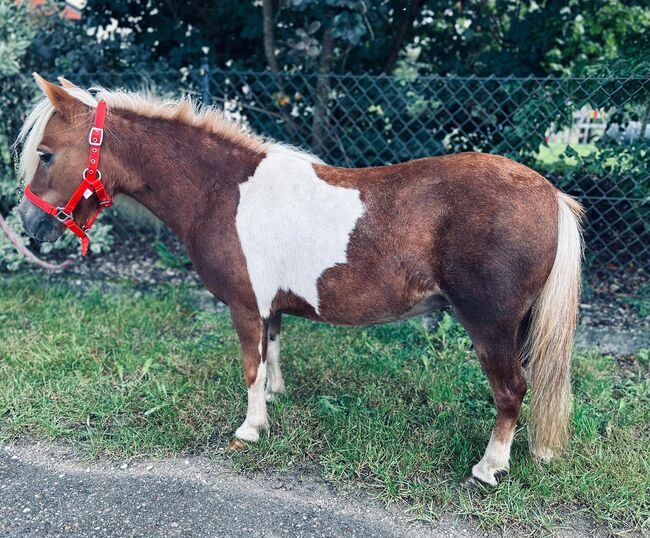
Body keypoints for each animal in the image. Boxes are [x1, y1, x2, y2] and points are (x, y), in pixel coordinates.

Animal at [15, 73, 584, 484]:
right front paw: (276, 398)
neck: (221, 189)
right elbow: (271, 353)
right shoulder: (268, 307)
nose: (29, 227)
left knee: (511, 390)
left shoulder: (244, 305)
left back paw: (489, 468)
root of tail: (549, 193)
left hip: (490, 326)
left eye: (46, 154)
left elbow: (250, 367)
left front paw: (250, 428)